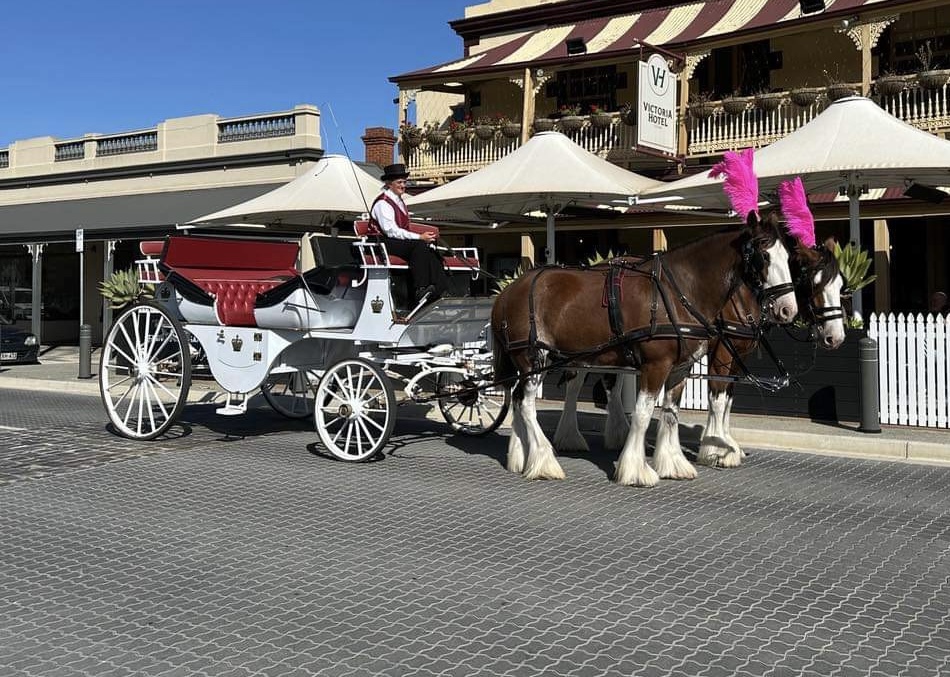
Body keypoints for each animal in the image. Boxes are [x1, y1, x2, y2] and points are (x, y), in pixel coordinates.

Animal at [490, 211, 796, 486]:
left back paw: (521, 456)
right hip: (533, 358)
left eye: (789, 258)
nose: (788, 310)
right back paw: (544, 460)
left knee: (518, 398)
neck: (679, 291)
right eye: (764, 256)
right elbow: (644, 413)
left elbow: (671, 414)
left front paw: (673, 463)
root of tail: (508, 290)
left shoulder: (681, 368)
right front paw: (636, 470)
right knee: (527, 403)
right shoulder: (661, 365)